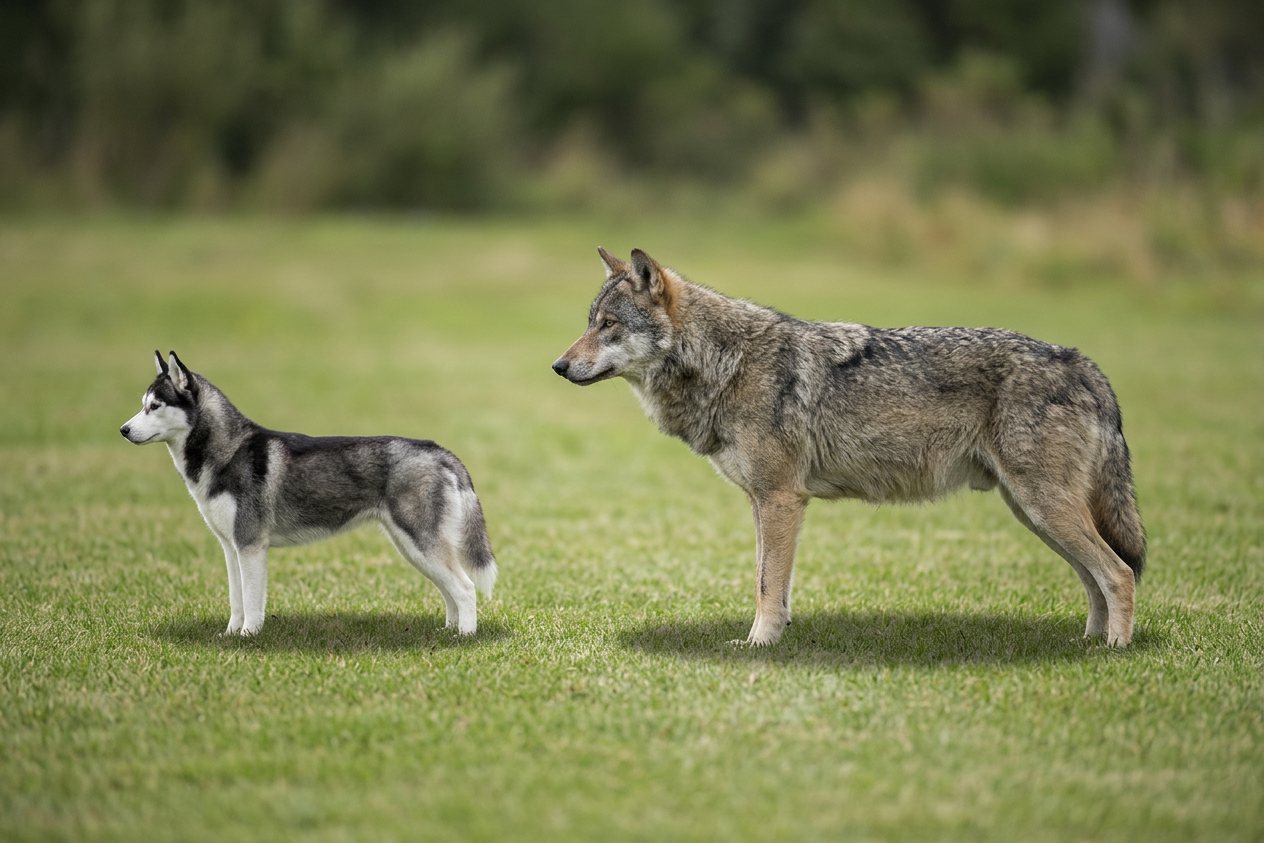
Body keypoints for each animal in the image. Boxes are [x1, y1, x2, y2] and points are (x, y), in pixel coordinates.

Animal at [120, 351, 497, 637]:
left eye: (155, 406)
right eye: (142, 404)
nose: (123, 430)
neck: (227, 450)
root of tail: (440, 451)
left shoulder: (251, 545)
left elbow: (252, 600)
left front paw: (248, 637)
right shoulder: (230, 546)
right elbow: (236, 599)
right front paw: (230, 634)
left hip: (420, 541)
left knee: (465, 587)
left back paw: (464, 637)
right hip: (412, 547)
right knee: (450, 589)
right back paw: (448, 630)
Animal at [553, 248, 1145, 647]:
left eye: (608, 325)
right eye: (589, 323)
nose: (558, 366)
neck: (727, 363)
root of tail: (1084, 364)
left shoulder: (781, 499)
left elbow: (766, 583)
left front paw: (757, 646)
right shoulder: (763, 503)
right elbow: (772, 582)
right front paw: (775, 637)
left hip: (1043, 508)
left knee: (1118, 572)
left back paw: (1115, 649)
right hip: (1034, 513)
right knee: (1097, 577)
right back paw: (1088, 643)